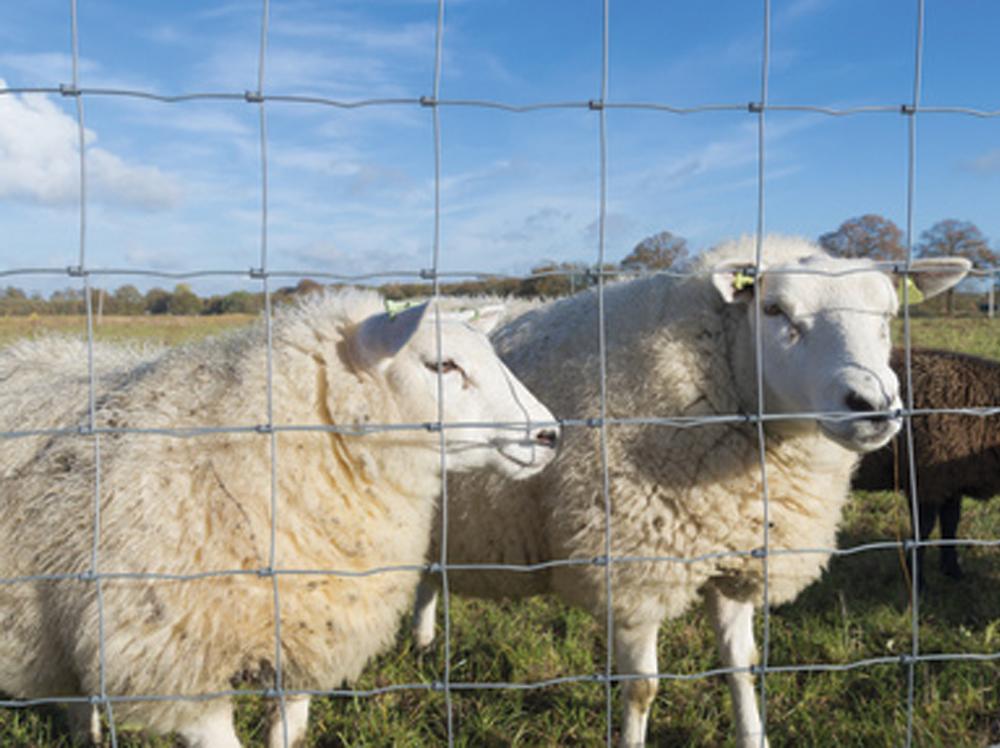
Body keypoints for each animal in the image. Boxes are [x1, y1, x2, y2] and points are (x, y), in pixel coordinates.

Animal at [410, 235, 964, 748]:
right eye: (775, 310)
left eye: (888, 315)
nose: (873, 405)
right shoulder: (633, 570)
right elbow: (642, 689)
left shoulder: (738, 555)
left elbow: (742, 664)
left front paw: (753, 736)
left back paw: (422, 639)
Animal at [852, 348, 1000, 588]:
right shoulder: (925, 482)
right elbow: (922, 530)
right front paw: (917, 581)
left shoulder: (950, 482)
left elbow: (951, 523)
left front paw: (953, 571)